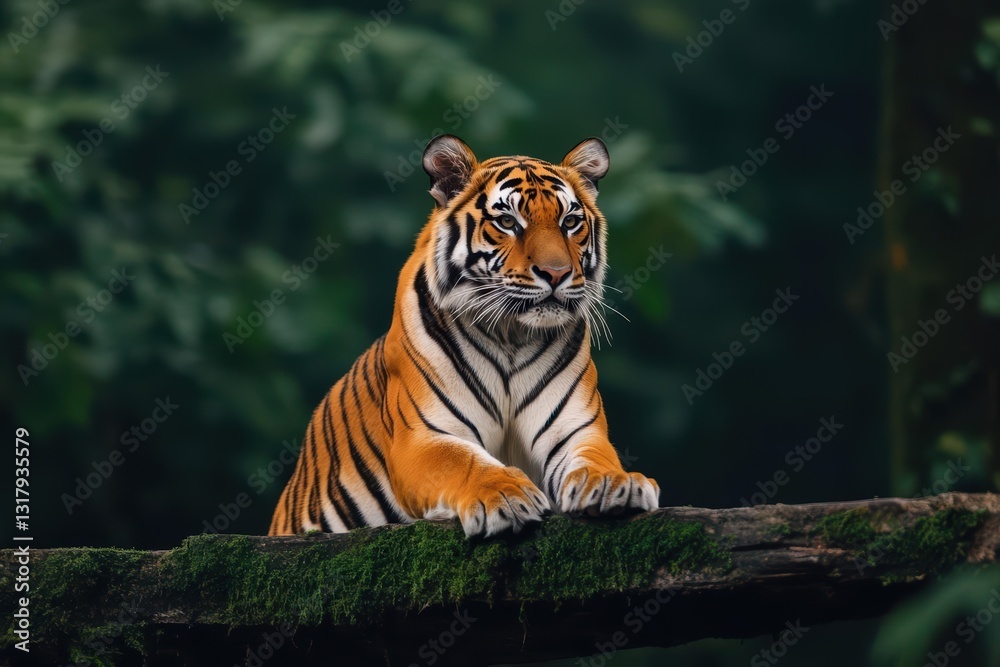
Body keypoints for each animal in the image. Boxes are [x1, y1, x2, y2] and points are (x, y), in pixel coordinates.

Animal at [269, 135, 660, 538]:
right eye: (507, 222)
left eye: (569, 222)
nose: (556, 273)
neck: (511, 334)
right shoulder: (425, 437)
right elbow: (466, 462)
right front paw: (505, 495)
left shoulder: (574, 428)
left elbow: (595, 457)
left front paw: (616, 484)